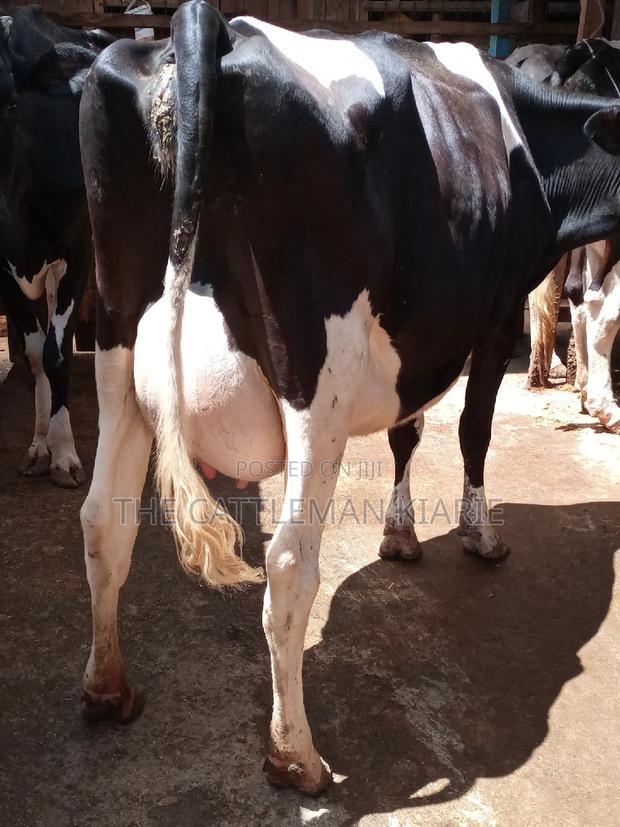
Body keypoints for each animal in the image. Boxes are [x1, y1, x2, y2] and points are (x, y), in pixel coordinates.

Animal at [79, 1, 620, 794]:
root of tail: (210, 26)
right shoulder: (490, 318)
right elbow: (473, 430)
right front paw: (480, 535)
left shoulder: (418, 334)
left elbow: (407, 432)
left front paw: (399, 534)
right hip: (318, 381)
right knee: (288, 562)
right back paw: (295, 755)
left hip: (118, 353)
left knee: (102, 521)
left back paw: (107, 688)